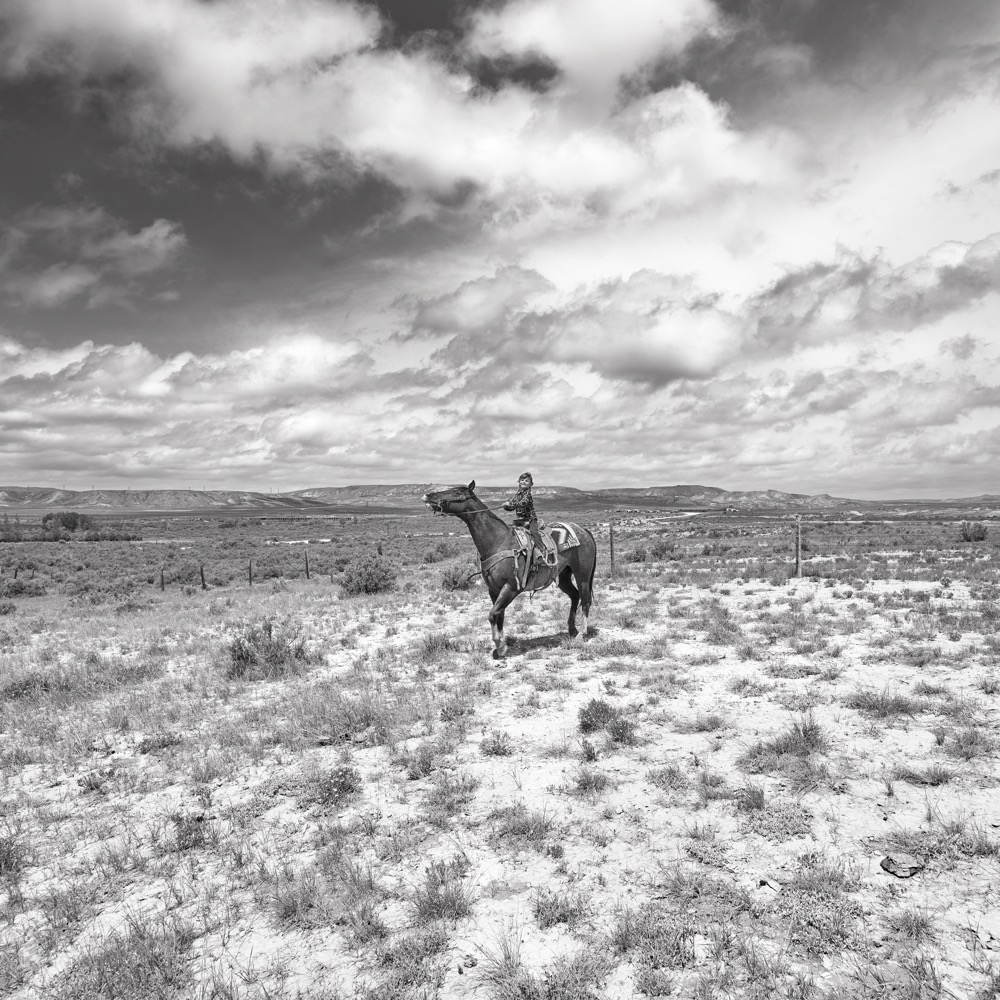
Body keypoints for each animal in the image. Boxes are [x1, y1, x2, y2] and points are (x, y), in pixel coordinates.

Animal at [420, 480, 592, 660]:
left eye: (456, 492)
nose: (428, 495)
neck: (498, 541)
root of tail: (583, 531)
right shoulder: (494, 590)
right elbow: (499, 616)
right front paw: (500, 646)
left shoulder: (511, 587)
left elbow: (492, 614)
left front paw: (500, 646)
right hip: (564, 576)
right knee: (575, 596)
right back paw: (572, 630)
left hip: (582, 575)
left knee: (585, 600)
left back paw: (582, 634)